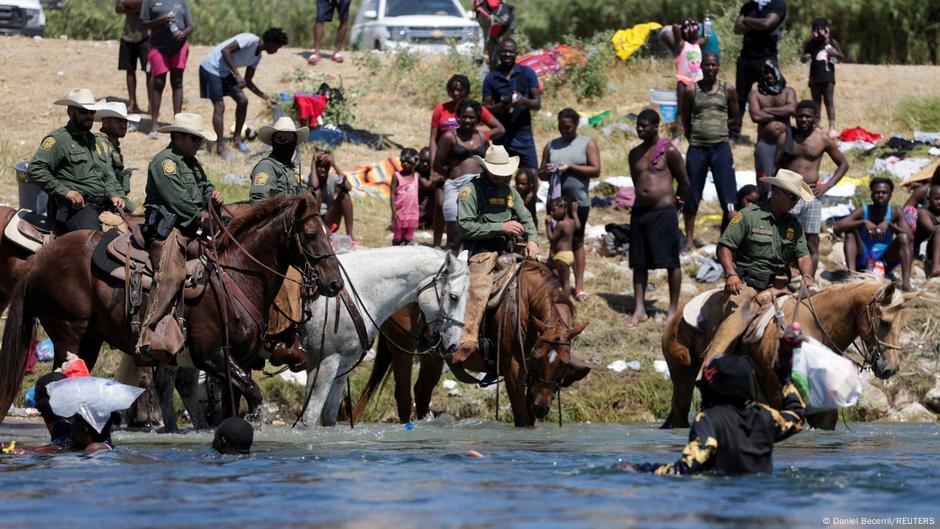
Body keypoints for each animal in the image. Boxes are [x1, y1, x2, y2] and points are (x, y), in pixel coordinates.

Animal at [0, 192, 344, 418]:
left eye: (327, 232)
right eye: (310, 234)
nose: (334, 283)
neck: (236, 275)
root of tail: (40, 259)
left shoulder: (237, 361)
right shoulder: (212, 355)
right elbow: (255, 396)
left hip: (89, 340)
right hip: (69, 332)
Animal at [300, 245, 468, 426]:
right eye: (453, 297)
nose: (453, 345)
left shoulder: (341, 366)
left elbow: (328, 417)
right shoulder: (323, 363)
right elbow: (308, 420)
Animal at [352, 258, 588, 426]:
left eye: (564, 363)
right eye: (537, 358)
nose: (540, 408)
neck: (524, 305)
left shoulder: (533, 380)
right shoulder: (513, 371)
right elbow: (522, 419)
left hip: (432, 355)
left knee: (421, 393)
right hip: (402, 349)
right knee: (403, 396)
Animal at [660, 276, 916, 428]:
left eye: (903, 324)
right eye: (884, 322)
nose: (890, 368)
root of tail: (678, 313)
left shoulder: (824, 410)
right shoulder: (776, 394)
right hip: (682, 381)